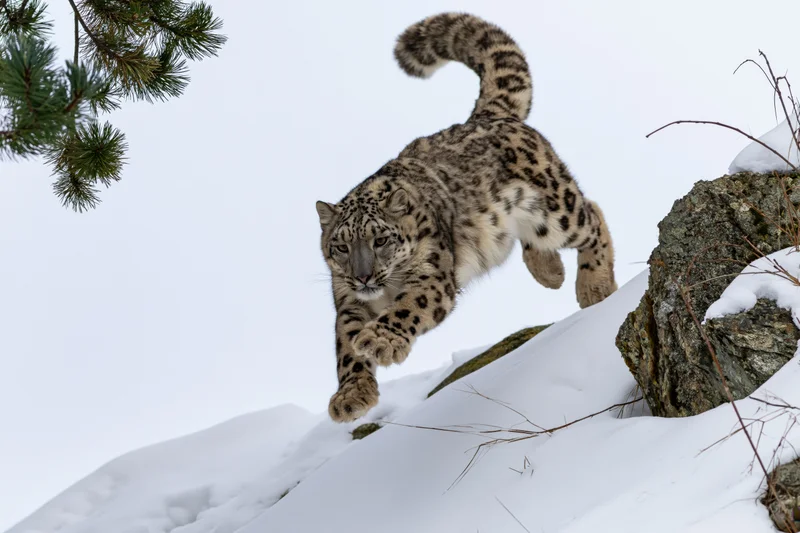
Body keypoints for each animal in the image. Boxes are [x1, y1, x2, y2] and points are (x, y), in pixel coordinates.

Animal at [316, 12, 617, 423]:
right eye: (341, 247)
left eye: (380, 240)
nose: (363, 276)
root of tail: (489, 115)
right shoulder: (347, 299)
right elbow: (345, 344)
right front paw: (351, 395)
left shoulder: (433, 275)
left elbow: (410, 306)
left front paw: (380, 340)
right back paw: (550, 272)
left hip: (556, 206)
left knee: (592, 215)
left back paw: (593, 287)